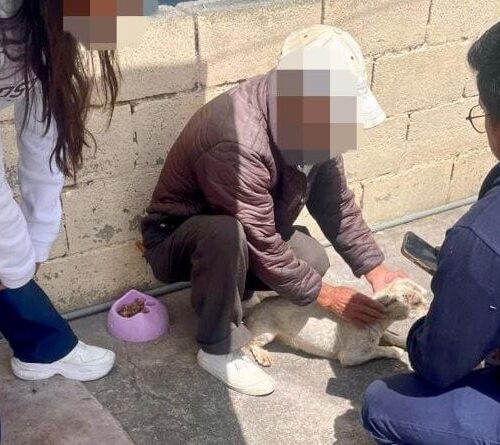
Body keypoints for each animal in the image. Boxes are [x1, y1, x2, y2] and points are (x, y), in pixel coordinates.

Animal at [245, 278, 429, 367]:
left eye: (425, 295)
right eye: (415, 302)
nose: (429, 307)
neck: (378, 322)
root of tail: (255, 307)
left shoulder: (381, 334)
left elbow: (393, 337)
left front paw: (403, 342)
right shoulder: (352, 356)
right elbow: (381, 350)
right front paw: (397, 351)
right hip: (266, 333)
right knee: (250, 344)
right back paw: (263, 355)